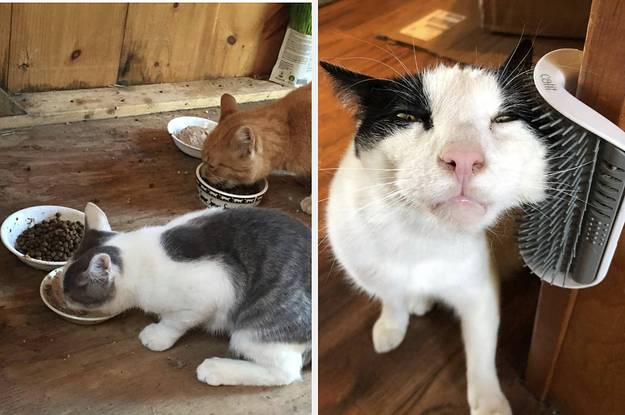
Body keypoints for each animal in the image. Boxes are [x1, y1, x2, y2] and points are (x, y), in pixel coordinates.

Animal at [61, 203, 310, 388]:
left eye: (69, 292)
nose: (62, 296)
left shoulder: (212, 290)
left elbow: (174, 322)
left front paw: (158, 335)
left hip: (255, 327)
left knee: (286, 371)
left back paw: (217, 369)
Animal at [322, 39, 544, 415]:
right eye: (406, 117)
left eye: (503, 118)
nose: (465, 159)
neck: (422, 238)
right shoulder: (368, 267)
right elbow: (391, 296)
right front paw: (392, 325)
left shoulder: (479, 291)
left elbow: (481, 348)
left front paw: (489, 401)